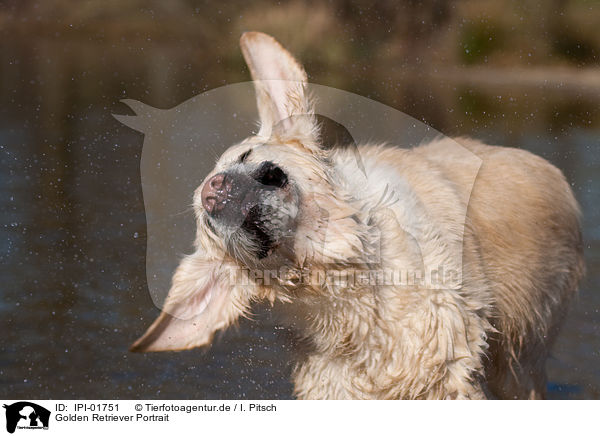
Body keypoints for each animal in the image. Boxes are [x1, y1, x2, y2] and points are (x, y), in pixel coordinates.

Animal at [129, 30, 584, 398]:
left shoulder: (448, 368)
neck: (354, 273)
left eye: (244, 156)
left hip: (521, 355)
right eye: (208, 224)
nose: (214, 190)